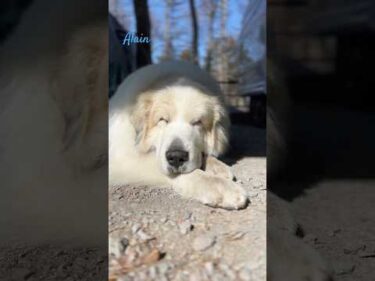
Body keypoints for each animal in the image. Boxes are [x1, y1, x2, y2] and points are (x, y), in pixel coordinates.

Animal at [108, 61, 250, 210]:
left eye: (197, 122)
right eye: (163, 120)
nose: (176, 157)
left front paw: (217, 166)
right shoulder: (122, 159)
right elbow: (190, 173)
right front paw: (221, 186)